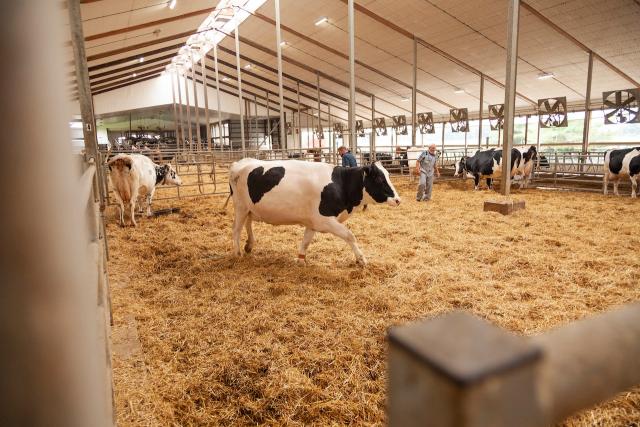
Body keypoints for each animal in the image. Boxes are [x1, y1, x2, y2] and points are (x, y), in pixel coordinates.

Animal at [226, 159, 400, 266]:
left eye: (388, 175)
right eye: (379, 179)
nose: (398, 200)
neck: (341, 184)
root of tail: (240, 163)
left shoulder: (313, 222)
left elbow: (306, 241)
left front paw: (301, 260)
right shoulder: (325, 220)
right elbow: (350, 235)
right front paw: (361, 259)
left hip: (249, 208)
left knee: (248, 223)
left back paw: (249, 245)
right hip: (240, 206)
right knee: (236, 229)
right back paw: (238, 253)